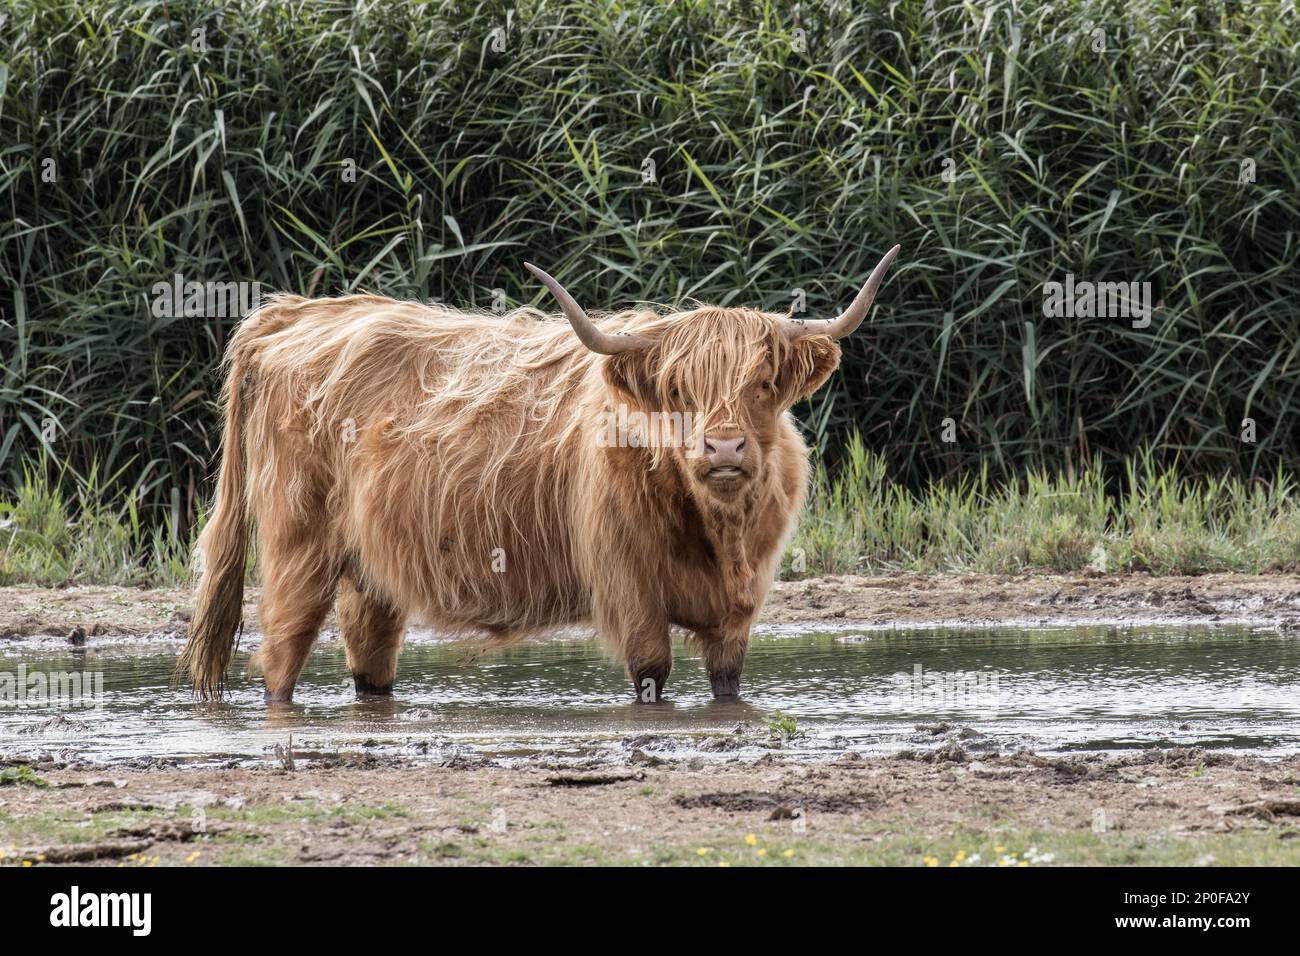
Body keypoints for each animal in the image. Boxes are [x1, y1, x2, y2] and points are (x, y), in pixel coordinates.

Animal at [178, 251, 899, 707]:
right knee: (281, 654)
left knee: (369, 653)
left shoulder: (737, 613)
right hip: (297, 544)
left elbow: (727, 685)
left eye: (764, 382)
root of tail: (299, 312)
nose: (723, 446)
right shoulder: (629, 588)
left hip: (369, 566)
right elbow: (652, 674)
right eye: (676, 390)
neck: (717, 533)